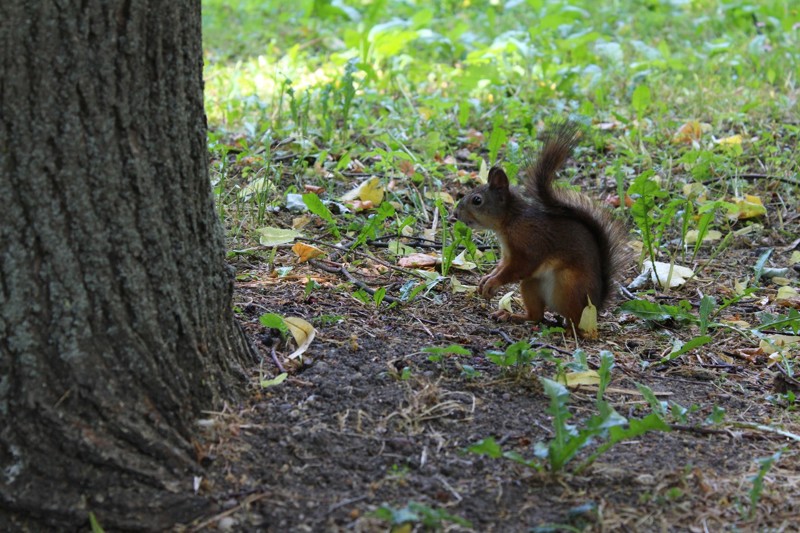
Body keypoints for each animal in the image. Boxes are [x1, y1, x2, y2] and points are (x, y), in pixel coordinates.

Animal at [454, 121, 628, 328]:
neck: (511, 221)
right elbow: (502, 265)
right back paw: (511, 315)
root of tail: (595, 306)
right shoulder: (508, 254)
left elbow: (521, 267)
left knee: (574, 322)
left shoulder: (530, 242)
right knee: (536, 316)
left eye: (477, 200)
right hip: (532, 285)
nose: (455, 214)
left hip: (570, 286)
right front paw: (486, 278)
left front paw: (493, 282)